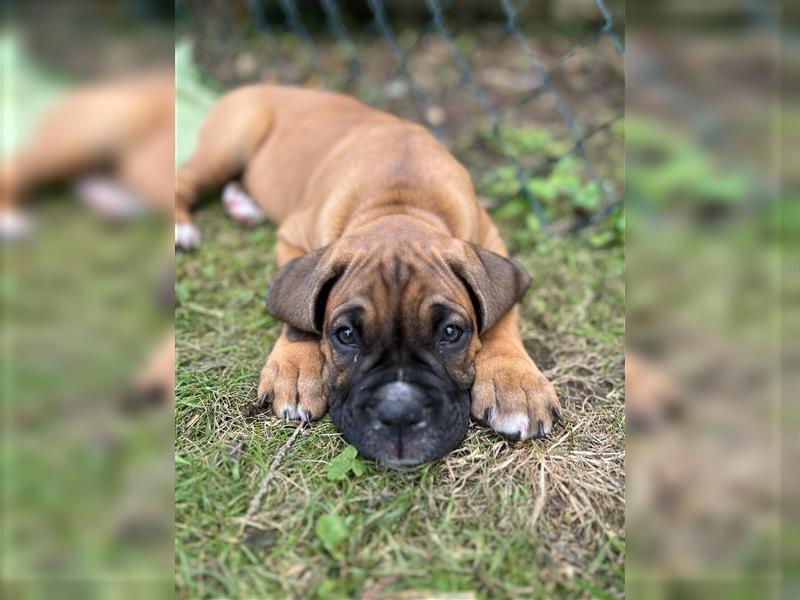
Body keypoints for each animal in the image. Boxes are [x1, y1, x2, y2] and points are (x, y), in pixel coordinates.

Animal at [177, 84, 560, 464]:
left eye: (452, 332)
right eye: (345, 334)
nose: (400, 412)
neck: (399, 202)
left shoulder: (491, 241)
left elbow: (500, 317)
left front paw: (515, 384)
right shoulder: (293, 239)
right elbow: (299, 317)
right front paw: (297, 370)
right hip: (227, 146)